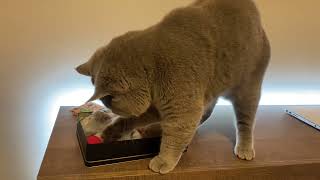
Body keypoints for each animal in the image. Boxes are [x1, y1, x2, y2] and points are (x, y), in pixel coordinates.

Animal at [75, 0, 270, 174]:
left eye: (112, 104)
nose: (111, 111)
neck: (152, 72)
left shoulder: (181, 108)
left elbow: (176, 134)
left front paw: (163, 161)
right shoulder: (159, 106)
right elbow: (131, 121)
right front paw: (111, 132)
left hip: (248, 87)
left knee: (245, 120)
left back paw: (244, 148)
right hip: (208, 91)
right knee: (204, 114)